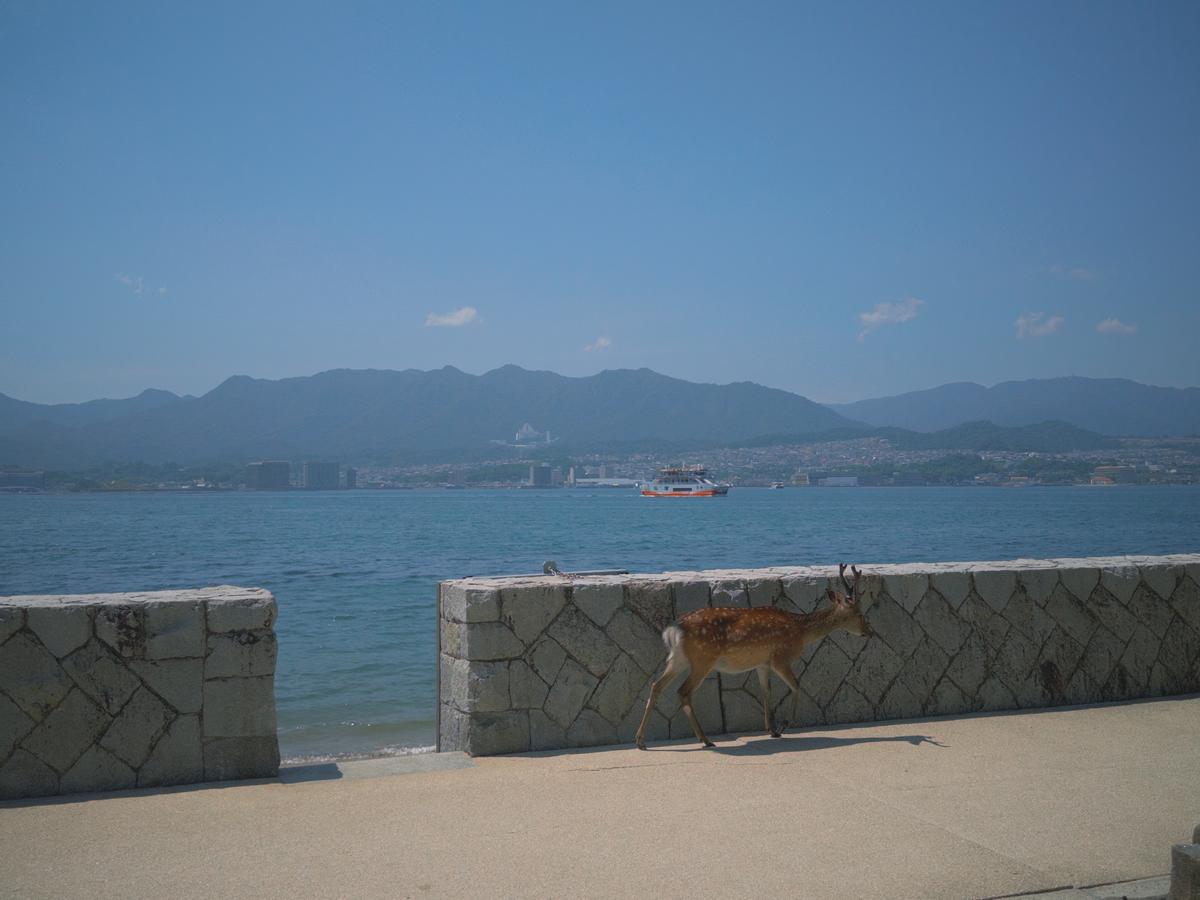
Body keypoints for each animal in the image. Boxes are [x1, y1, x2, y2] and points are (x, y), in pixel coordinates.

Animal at [635, 563, 874, 750]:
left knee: (656, 686)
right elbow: (797, 685)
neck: (801, 631)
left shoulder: (762, 663)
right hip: (703, 659)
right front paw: (785, 724)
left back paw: (641, 741)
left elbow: (766, 691)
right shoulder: (780, 656)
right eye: (860, 613)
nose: (870, 632)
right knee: (683, 691)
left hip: (678, 659)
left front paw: (772, 729)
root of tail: (674, 629)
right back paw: (705, 740)